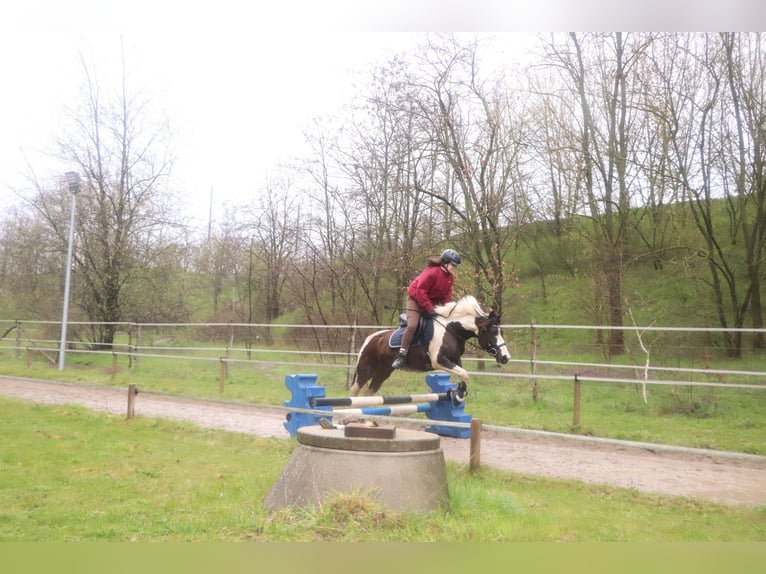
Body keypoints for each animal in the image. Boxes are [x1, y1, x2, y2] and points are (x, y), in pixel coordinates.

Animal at [352, 296, 512, 400]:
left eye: (501, 332)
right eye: (493, 332)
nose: (505, 357)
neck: (451, 330)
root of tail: (370, 339)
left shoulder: (454, 360)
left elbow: (462, 373)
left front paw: (459, 391)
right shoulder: (439, 361)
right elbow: (465, 373)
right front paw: (459, 393)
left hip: (383, 372)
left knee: (368, 393)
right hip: (365, 370)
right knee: (354, 391)